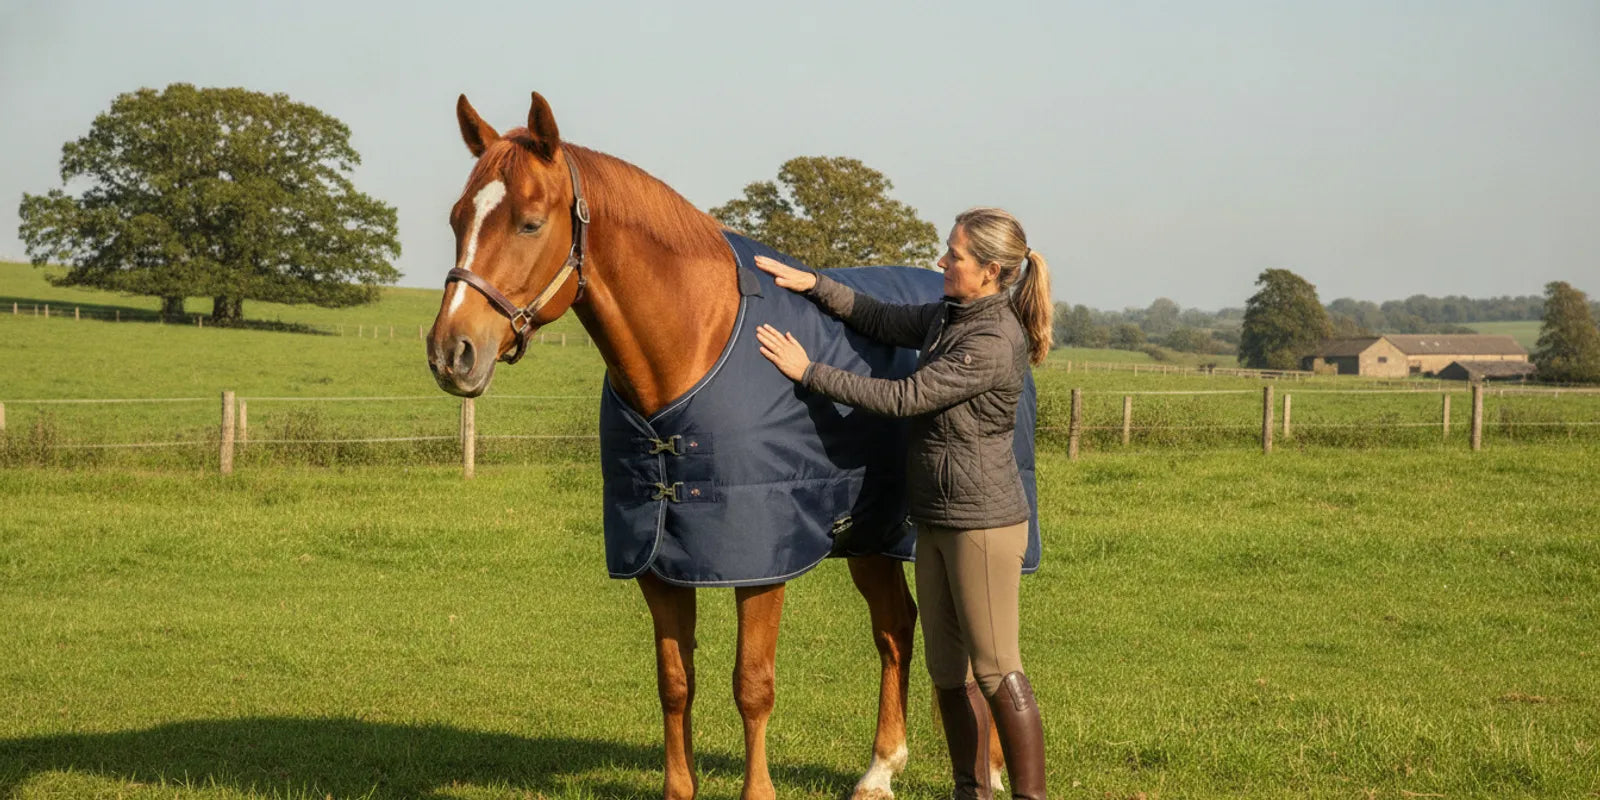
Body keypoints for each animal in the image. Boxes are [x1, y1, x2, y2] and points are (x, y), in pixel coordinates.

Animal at [425, 91, 1011, 800]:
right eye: (458, 217)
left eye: (531, 224)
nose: (451, 352)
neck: (694, 342)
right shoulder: (656, 558)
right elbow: (676, 683)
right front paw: (680, 788)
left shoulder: (759, 560)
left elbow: (752, 685)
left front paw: (758, 791)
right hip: (870, 534)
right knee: (897, 628)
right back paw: (880, 769)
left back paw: (994, 768)